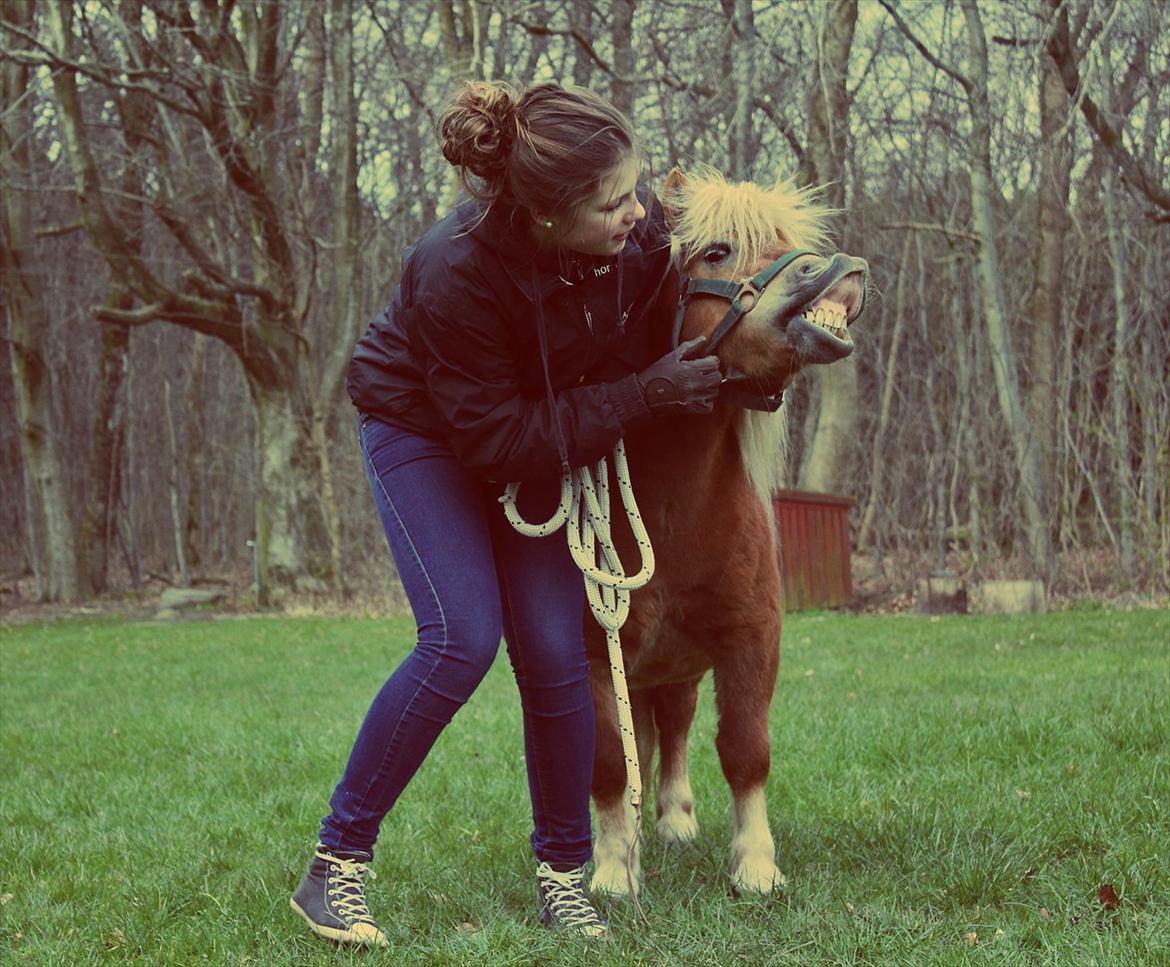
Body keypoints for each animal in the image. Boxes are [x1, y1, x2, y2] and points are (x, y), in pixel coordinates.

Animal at [589, 167, 865, 899]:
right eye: (717, 251)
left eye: (789, 240)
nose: (838, 271)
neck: (674, 514)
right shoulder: (598, 654)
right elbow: (610, 760)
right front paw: (611, 867)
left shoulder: (752, 638)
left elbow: (744, 750)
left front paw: (756, 864)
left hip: (678, 668)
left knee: (676, 732)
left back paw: (676, 823)